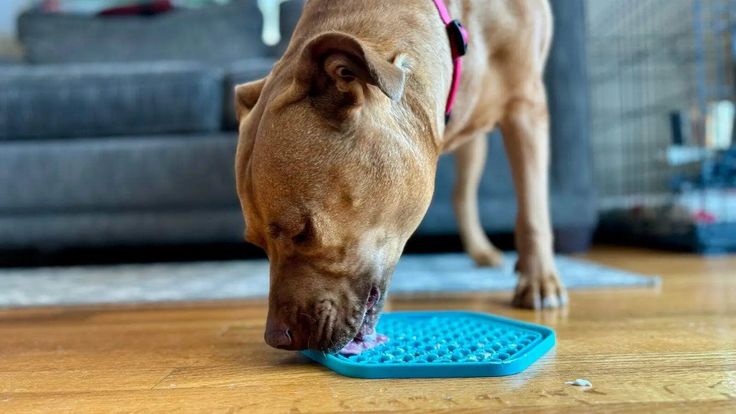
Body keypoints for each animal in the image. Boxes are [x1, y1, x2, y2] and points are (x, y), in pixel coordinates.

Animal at [233, 0, 568, 352]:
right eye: (257, 244)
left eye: (303, 233)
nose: (276, 338)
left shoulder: (527, 110)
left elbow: (533, 213)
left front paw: (540, 281)